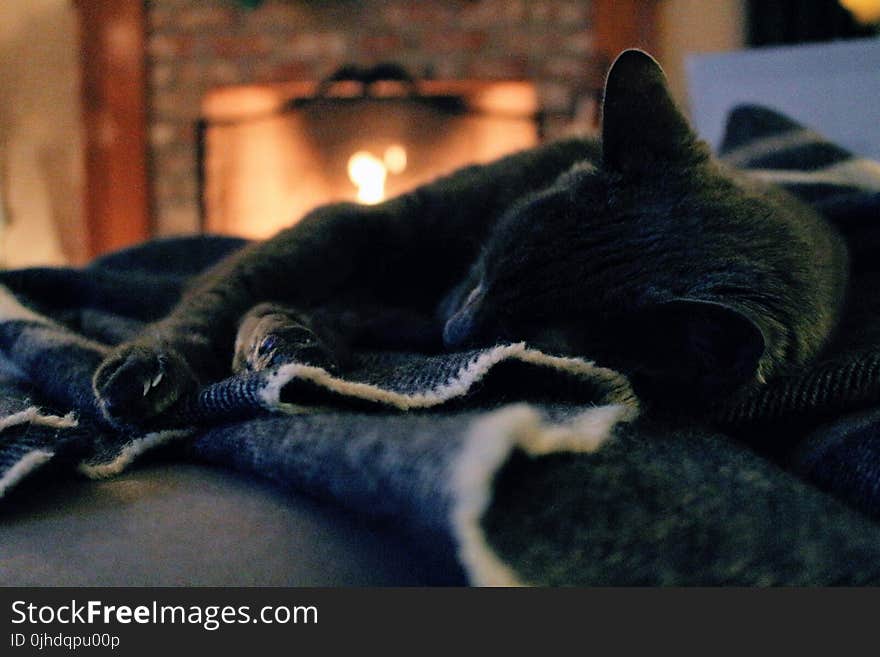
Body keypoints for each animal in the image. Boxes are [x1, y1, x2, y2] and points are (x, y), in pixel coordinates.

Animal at [93, 51, 848, 426]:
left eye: (524, 337)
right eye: (491, 261)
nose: (456, 328)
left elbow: (289, 309)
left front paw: (286, 345)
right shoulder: (354, 224)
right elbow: (221, 296)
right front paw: (148, 368)